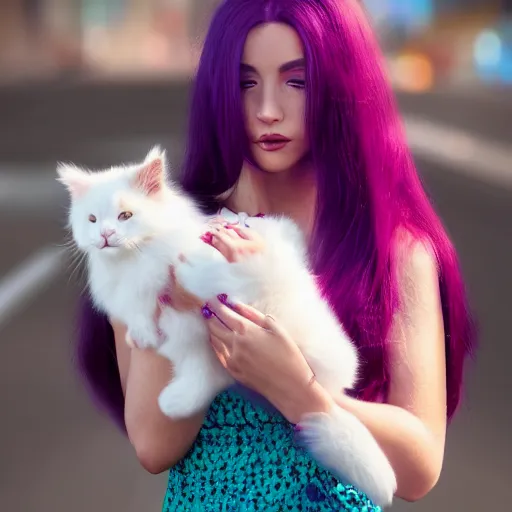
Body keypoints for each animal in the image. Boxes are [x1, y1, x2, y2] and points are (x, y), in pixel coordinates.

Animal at [59, 146, 396, 506]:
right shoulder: (138, 302)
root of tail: (331, 388)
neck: (133, 261)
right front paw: (142, 335)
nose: (105, 236)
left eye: (125, 216)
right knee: (208, 374)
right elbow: (141, 314)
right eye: (92, 220)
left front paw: (187, 272)